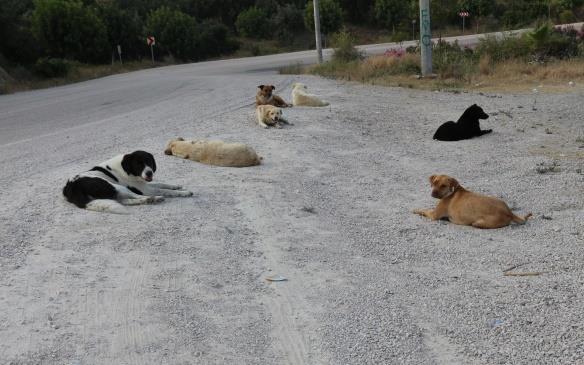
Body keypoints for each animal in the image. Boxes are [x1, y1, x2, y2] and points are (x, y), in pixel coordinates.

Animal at [63, 150, 193, 213]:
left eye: (149, 161)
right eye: (138, 164)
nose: (149, 173)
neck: (126, 167)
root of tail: (71, 187)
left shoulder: (143, 184)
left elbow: (162, 184)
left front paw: (176, 186)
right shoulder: (145, 189)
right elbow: (165, 190)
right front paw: (184, 193)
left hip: (114, 192)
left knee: (125, 201)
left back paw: (150, 200)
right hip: (115, 186)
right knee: (135, 197)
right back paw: (154, 199)